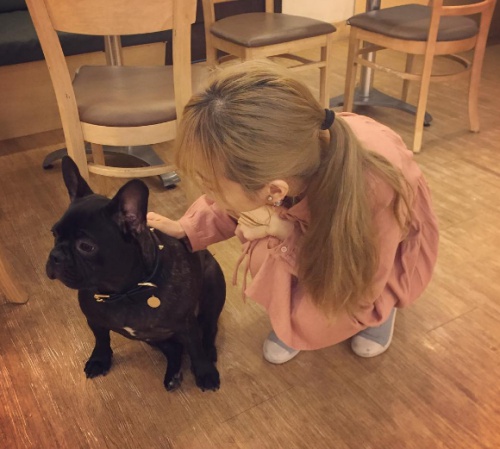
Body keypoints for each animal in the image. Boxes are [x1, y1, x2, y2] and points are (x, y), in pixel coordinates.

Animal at [46, 156, 226, 392]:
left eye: (85, 246)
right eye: (54, 233)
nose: (55, 255)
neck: (124, 291)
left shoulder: (187, 325)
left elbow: (196, 350)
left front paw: (205, 372)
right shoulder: (94, 320)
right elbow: (101, 340)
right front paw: (99, 359)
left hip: (213, 292)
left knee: (209, 328)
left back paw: (208, 353)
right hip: (154, 338)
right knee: (174, 348)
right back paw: (172, 374)